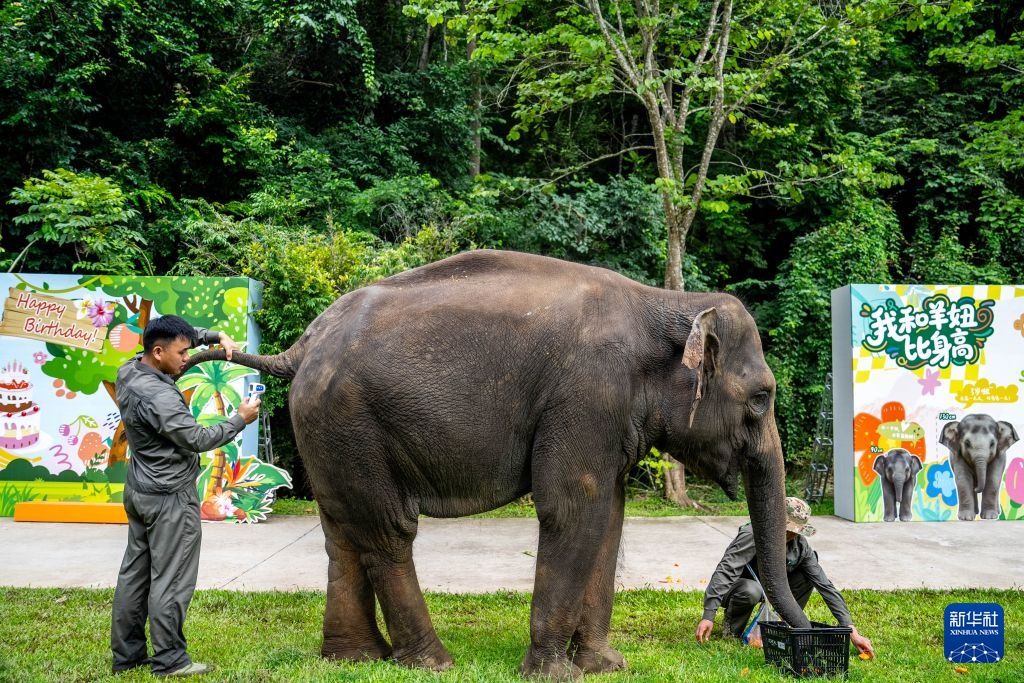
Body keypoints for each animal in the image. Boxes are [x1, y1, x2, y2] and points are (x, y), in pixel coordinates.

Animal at [181, 250, 809, 678]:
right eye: (761, 398)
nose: (808, 640)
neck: (666, 303)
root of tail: (302, 347)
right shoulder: (586, 396)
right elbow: (572, 511)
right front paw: (555, 674)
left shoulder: (606, 416)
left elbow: (609, 516)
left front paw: (607, 666)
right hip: (350, 421)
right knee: (388, 533)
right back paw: (432, 662)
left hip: (331, 432)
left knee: (343, 532)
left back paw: (356, 658)